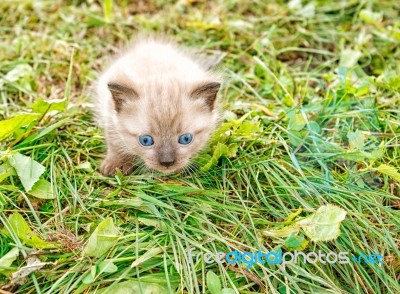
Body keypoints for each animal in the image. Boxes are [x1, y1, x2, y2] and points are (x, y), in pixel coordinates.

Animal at [93, 36, 222, 175]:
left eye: (186, 139)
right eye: (146, 140)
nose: (167, 163)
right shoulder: (110, 116)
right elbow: (114, 142)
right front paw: (116, 163)